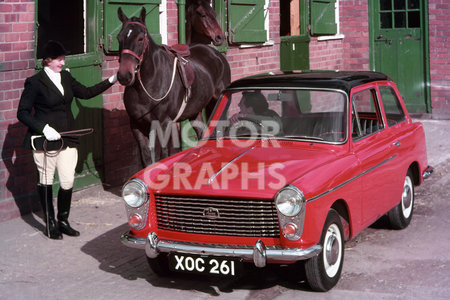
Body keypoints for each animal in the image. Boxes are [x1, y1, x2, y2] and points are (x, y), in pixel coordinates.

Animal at [116, 7, 232, 166]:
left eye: (140, 38)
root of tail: (217, 55)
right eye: (119, 38)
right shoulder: (136, 125)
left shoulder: (164, 124)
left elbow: (164, 155)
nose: (124, 75)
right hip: (195, 112)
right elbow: (147, 160)